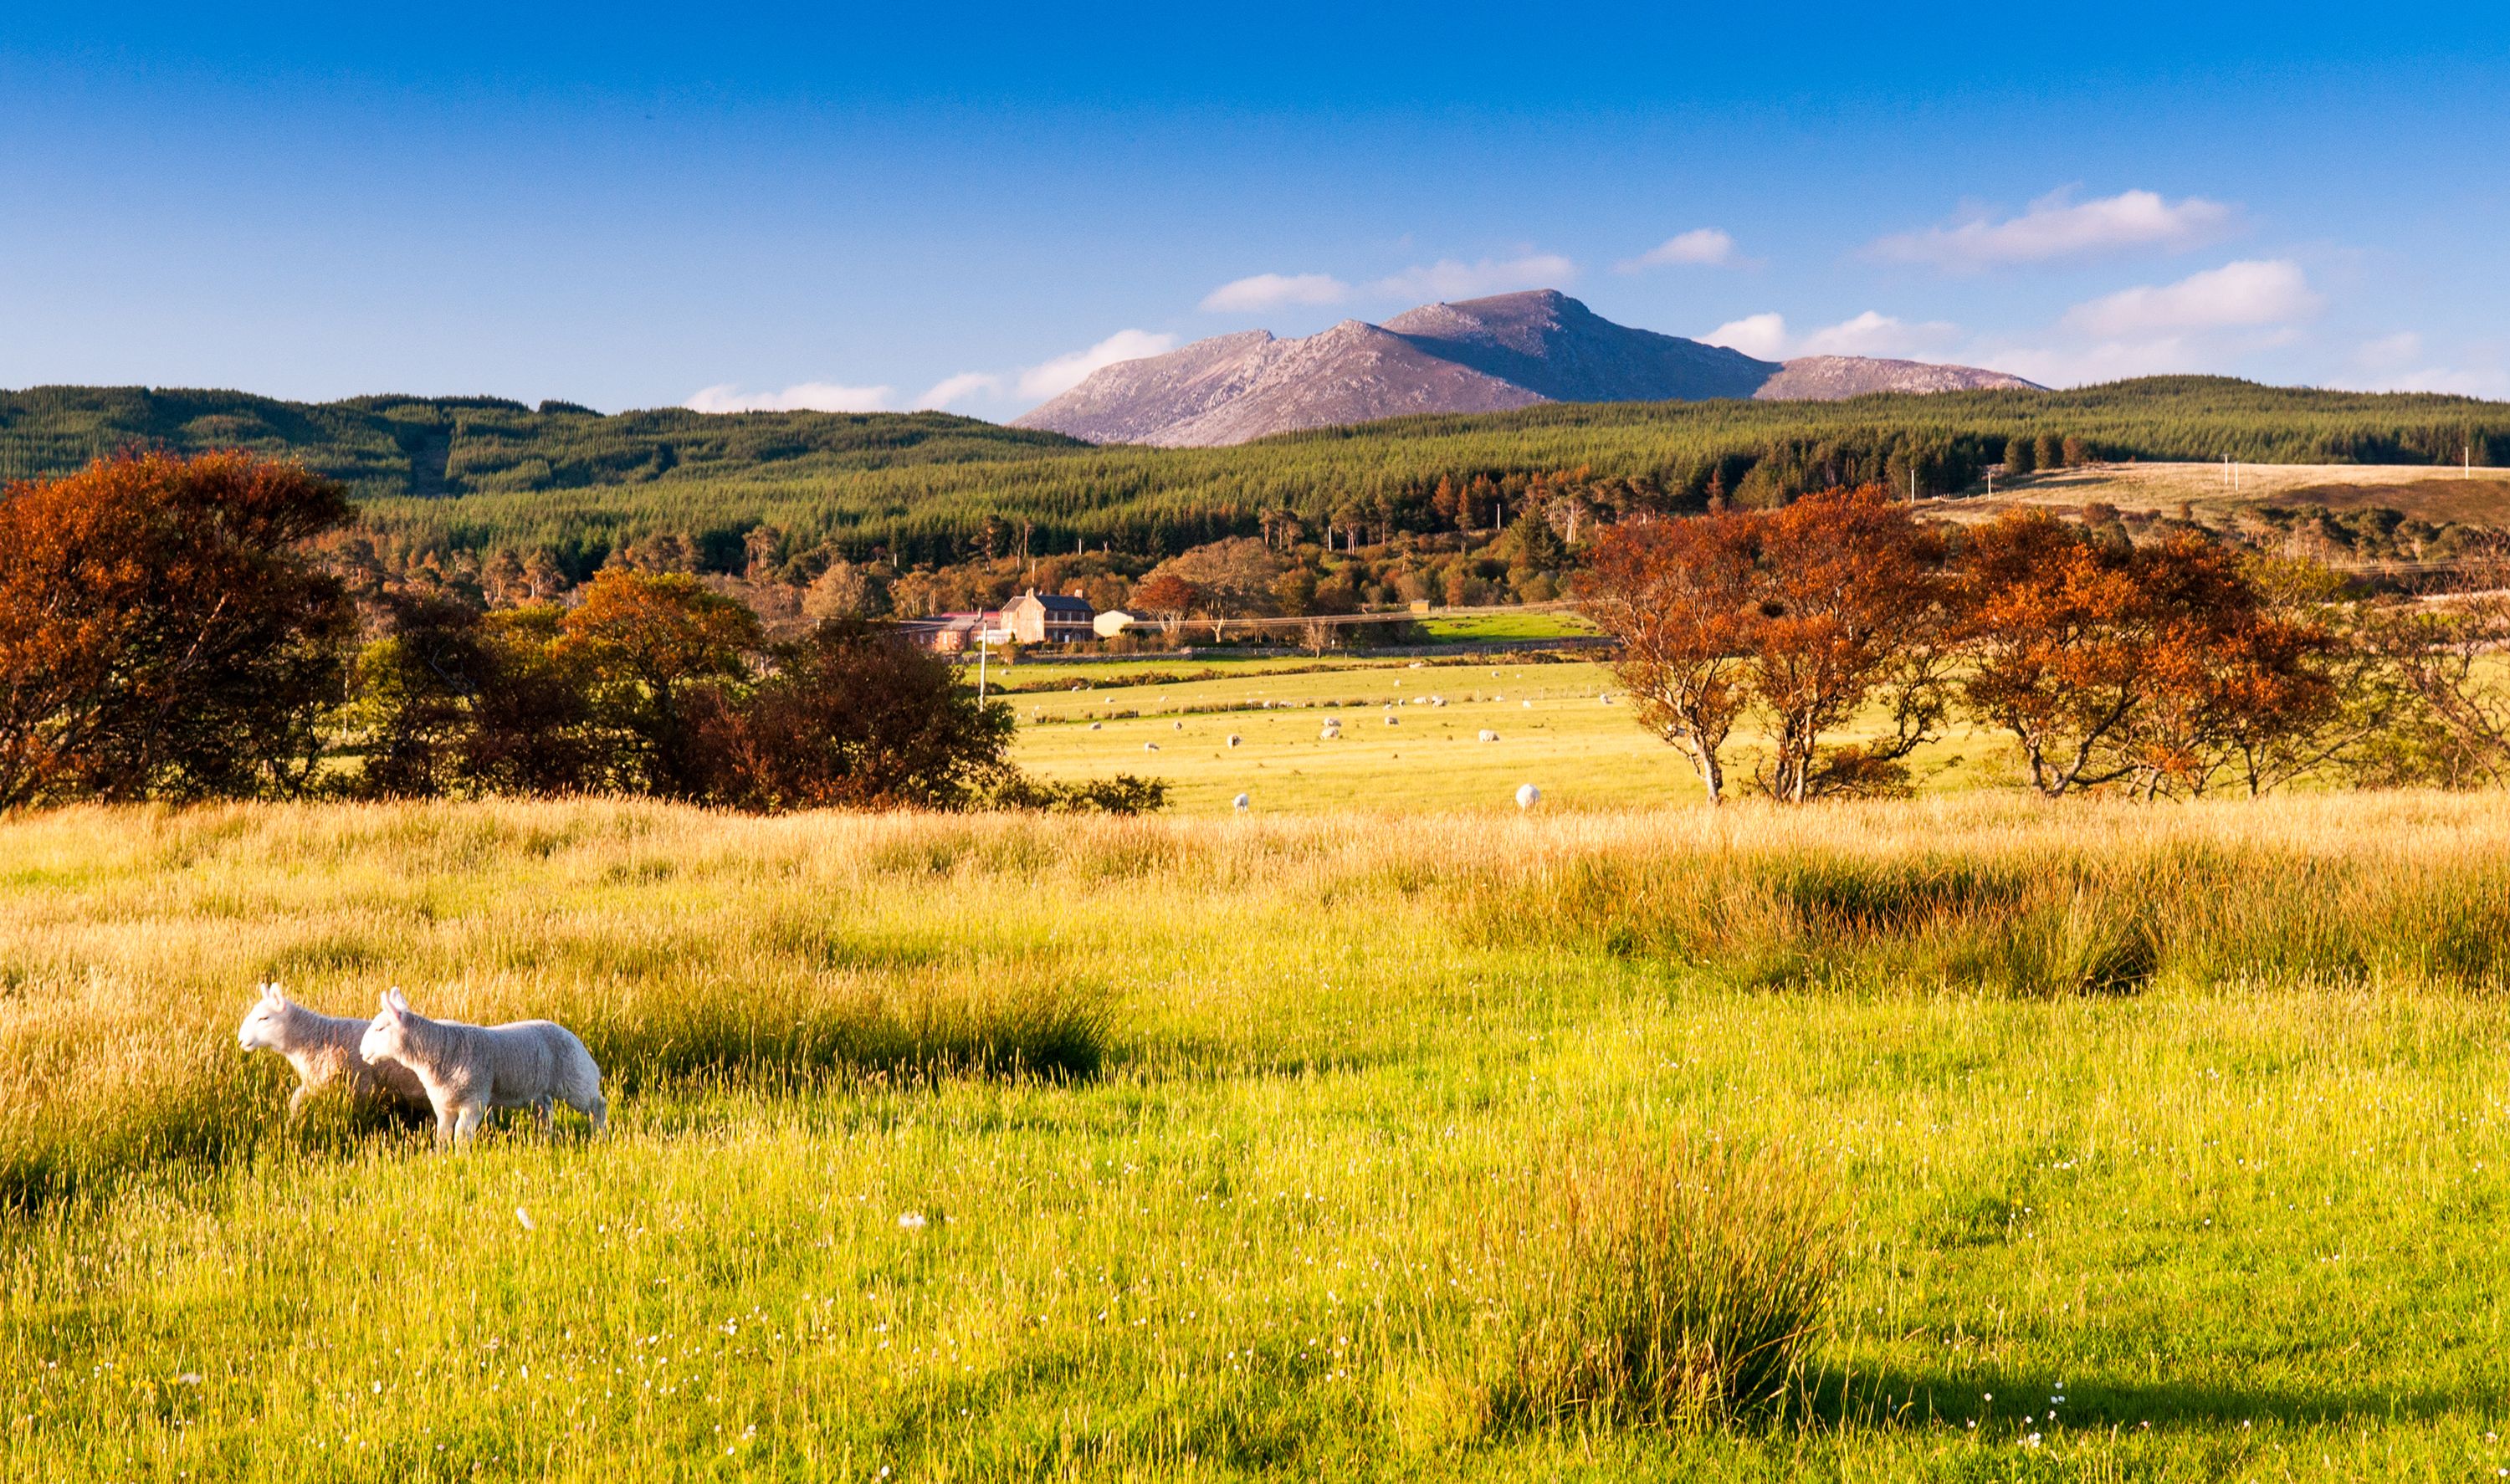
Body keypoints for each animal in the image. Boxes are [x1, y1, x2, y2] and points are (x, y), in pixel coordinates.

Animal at [236, 979, 432, 1119]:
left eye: (264, 1018)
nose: (240, 1040)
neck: (318, 1037)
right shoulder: (317, 1082)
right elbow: (295, 1100)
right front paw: (290, 1122)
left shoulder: (360, 1087)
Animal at [359, 994, 607, 1154]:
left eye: (380, 1029)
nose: (362, 1052)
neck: (437, 1049)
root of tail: (574, 1038)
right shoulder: (444, 1104)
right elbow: (442, 1134)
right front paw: (441, 1159)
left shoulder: (474, 1100)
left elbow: (461, 1135)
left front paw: (461, 1159)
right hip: (540, 1088)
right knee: (545, 1109)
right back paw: (544, 1140)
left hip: (575, 1078)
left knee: (597, 1105)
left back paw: (600, 1137)